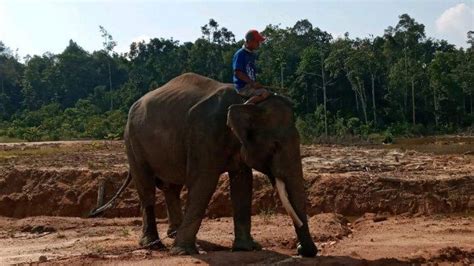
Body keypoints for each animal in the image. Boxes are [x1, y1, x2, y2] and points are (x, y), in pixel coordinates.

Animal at [89, 72, 318, 258]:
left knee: (171, 187)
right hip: (133, 142)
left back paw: (173, 234)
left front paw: (247, 248)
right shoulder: (204, 133)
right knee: (146, 188)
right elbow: (204, 182)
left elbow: (243, 182)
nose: (303, 251)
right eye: (275, 146)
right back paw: (154, 245)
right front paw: (183, 252)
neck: (245, 102)